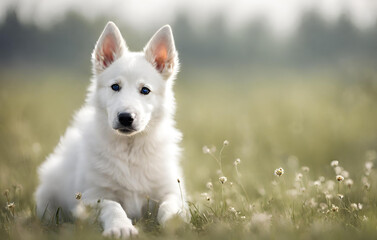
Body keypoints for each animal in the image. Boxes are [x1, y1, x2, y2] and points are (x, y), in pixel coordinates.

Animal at [36, 22, 186, 238]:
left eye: (145, 90)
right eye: (115, 86)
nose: (125, 117)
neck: (130, 150)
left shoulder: (172, 189)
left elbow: (170, 205)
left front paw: (175, 223)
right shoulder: (91, 195)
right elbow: (112, 206)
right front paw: (120, 227)